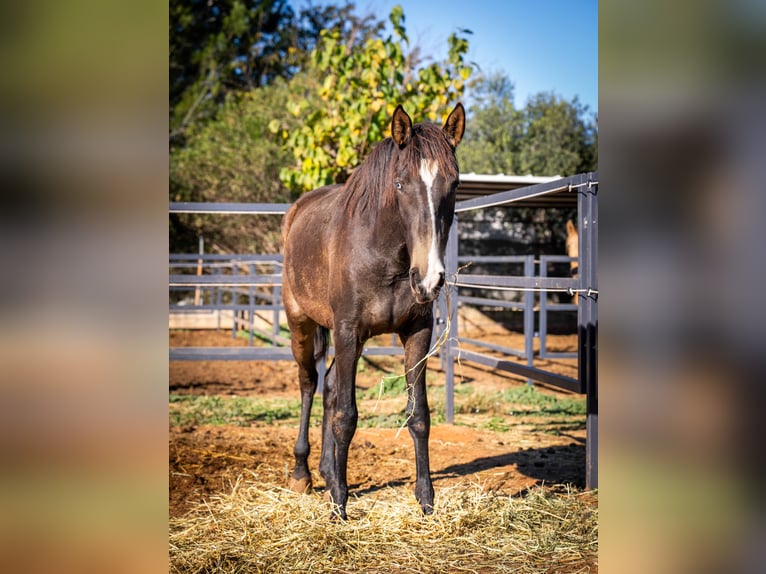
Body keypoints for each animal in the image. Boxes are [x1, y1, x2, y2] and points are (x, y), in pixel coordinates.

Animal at [280, 103, 464, 520]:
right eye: (399, 184)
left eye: (455, 184)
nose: (429, 278)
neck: (385, 257)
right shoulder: (348, 331)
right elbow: (347, 417)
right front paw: (339, 505)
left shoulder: (416, 334)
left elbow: (419, 415)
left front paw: (426, 500)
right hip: (301, 324)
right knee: (309, 384)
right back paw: (302, 473)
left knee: (330, 388)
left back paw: (328, 471)